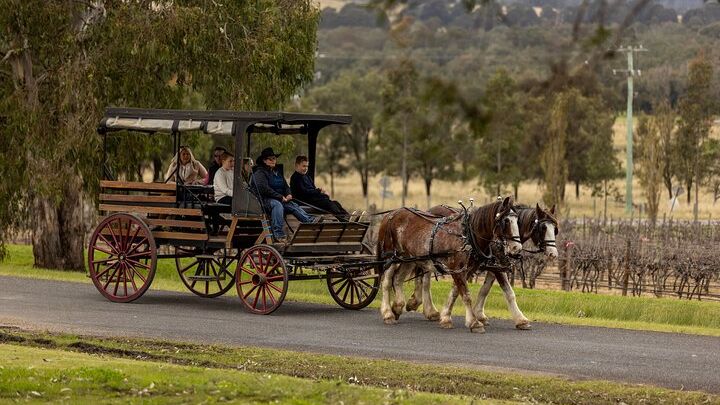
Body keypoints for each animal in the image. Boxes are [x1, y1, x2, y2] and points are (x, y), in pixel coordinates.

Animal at [376, 196, 522, 332]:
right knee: (387, 282)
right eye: (506, 221)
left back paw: (398, 307)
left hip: (408, 258)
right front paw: (474, 323)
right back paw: (388, 314)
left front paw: (446, 318)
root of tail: (390, 214)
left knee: (398, 279)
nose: (517, 249)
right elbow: (466, 295)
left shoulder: (466, 270)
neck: (467, 235)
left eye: (517, 220)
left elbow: (455, 292)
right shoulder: (458, 269)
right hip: (391, 258)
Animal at [405, 203, 559, 330]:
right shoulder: (493, 268)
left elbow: (483, 289)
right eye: (543, 228)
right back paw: (426, 308)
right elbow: (508, 292)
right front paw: (521, 320)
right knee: (424, 279)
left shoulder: (494, 266)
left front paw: (478, 314)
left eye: (555, 229)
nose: (553, 254)